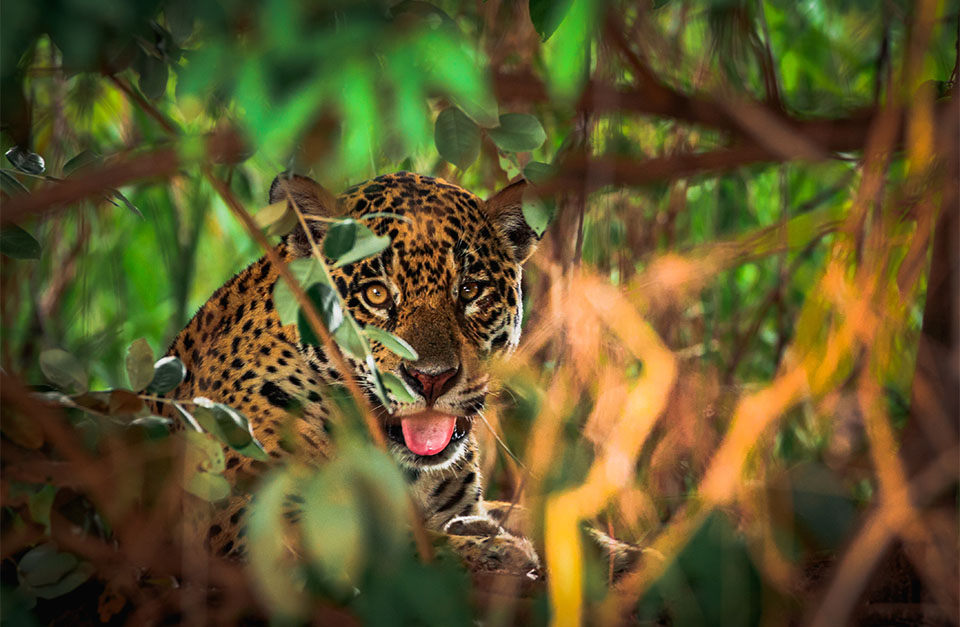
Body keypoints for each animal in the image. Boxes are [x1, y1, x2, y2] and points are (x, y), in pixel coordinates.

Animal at [159, 171, 541, 579]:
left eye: (470, 290)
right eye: (375, 295)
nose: (431, 379)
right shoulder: (251, 514)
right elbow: (395, 544)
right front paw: (497, 551)